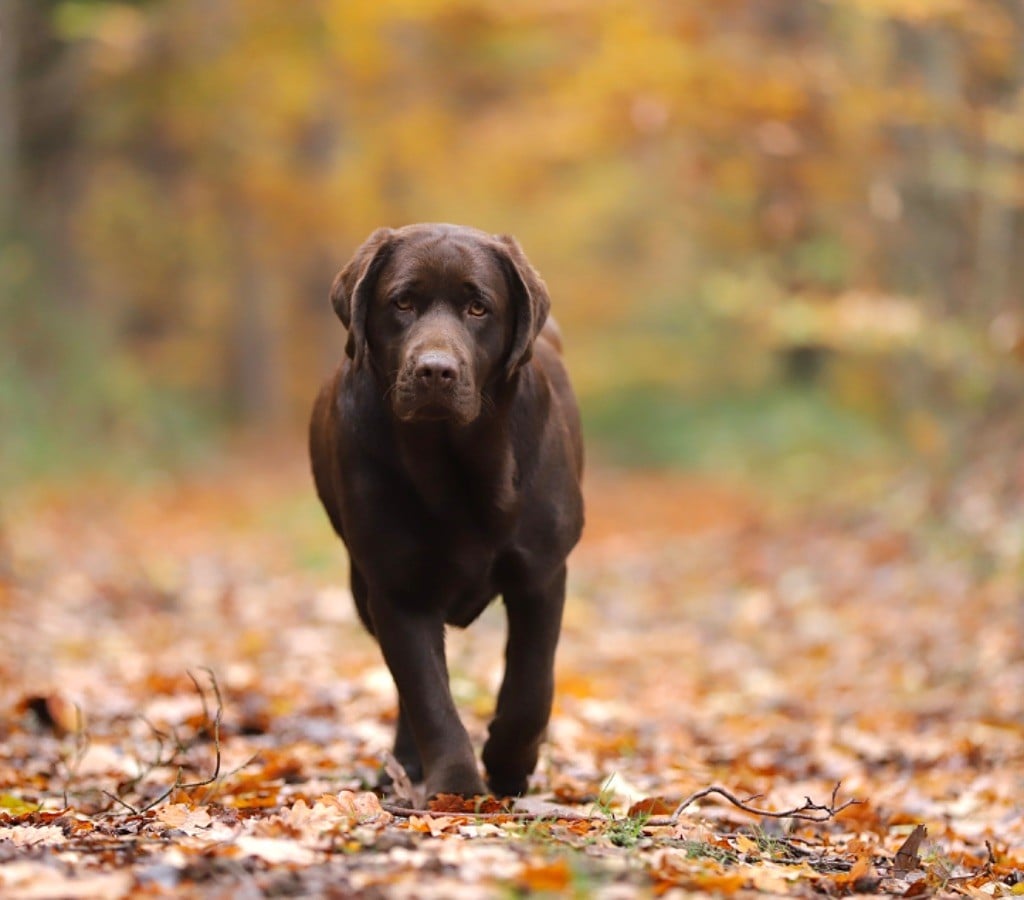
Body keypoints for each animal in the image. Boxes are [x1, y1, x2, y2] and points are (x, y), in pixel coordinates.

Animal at [307, 223, 585, 794]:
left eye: (479, 308)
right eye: (402, 303)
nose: (435, 370)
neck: (456, 466)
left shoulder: (542, 574)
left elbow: (531, 686)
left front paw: (508, 764)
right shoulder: (397, 589)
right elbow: (428, 697)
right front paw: (457, 788)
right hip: (362, 590)